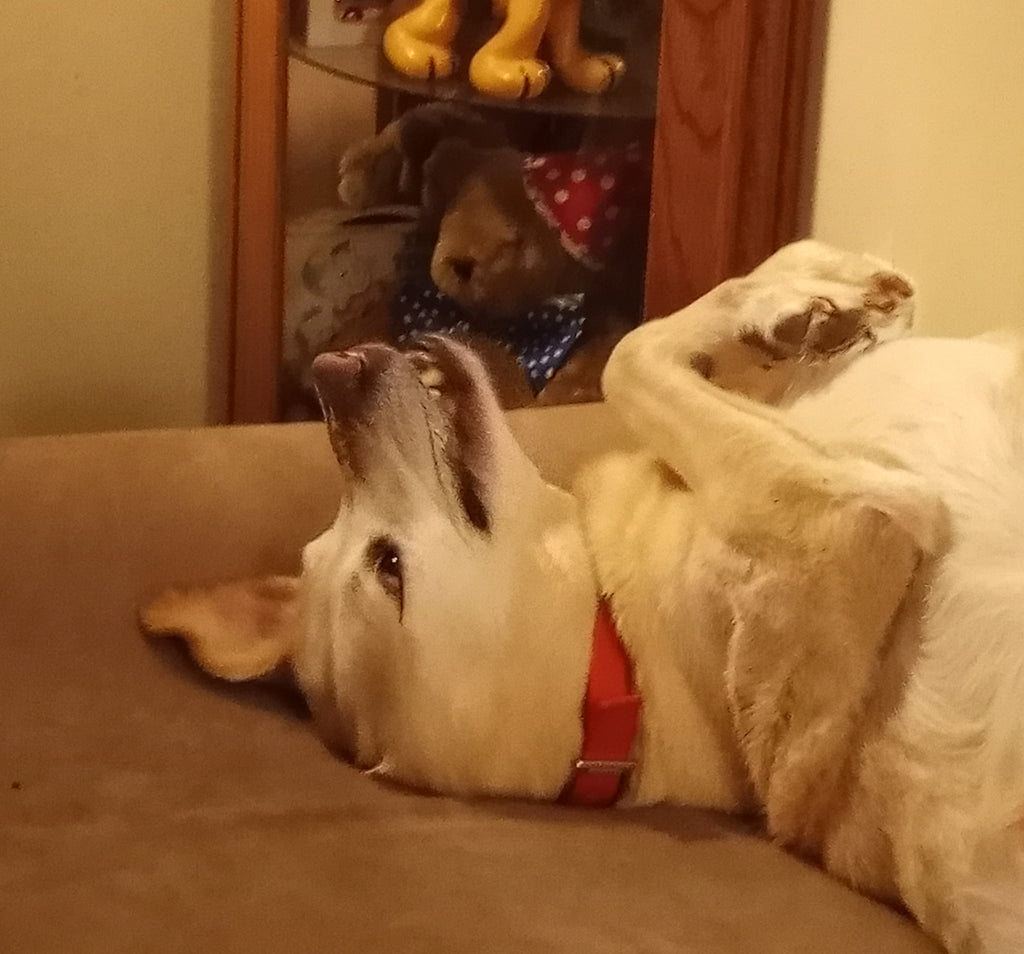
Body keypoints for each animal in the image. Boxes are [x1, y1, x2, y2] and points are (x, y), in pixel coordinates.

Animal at [142, 242, 1024, 949]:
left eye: (348, 545)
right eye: (390, 567)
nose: (332, 373)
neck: (631, 661)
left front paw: (812, 297)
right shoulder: (853, 519)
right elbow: (628, 356)